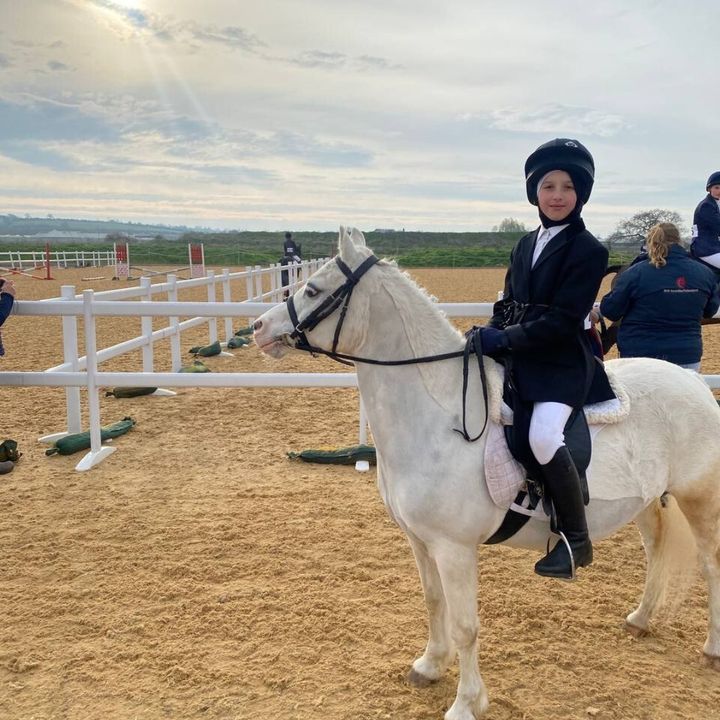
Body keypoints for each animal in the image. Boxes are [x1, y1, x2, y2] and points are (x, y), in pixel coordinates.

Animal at [253, 226, 720, 720]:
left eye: (312, 289)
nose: (259, 329)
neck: (437, 415)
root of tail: (694, 383)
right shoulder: (420, 540)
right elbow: (433, 602)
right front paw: (429, 666)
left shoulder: (454, 548)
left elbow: (465, 625)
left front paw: (466, 703)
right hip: (649, 501)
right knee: (657, 553)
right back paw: (641, 619)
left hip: (699, 499)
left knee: (710, 564)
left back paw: (711, 648)